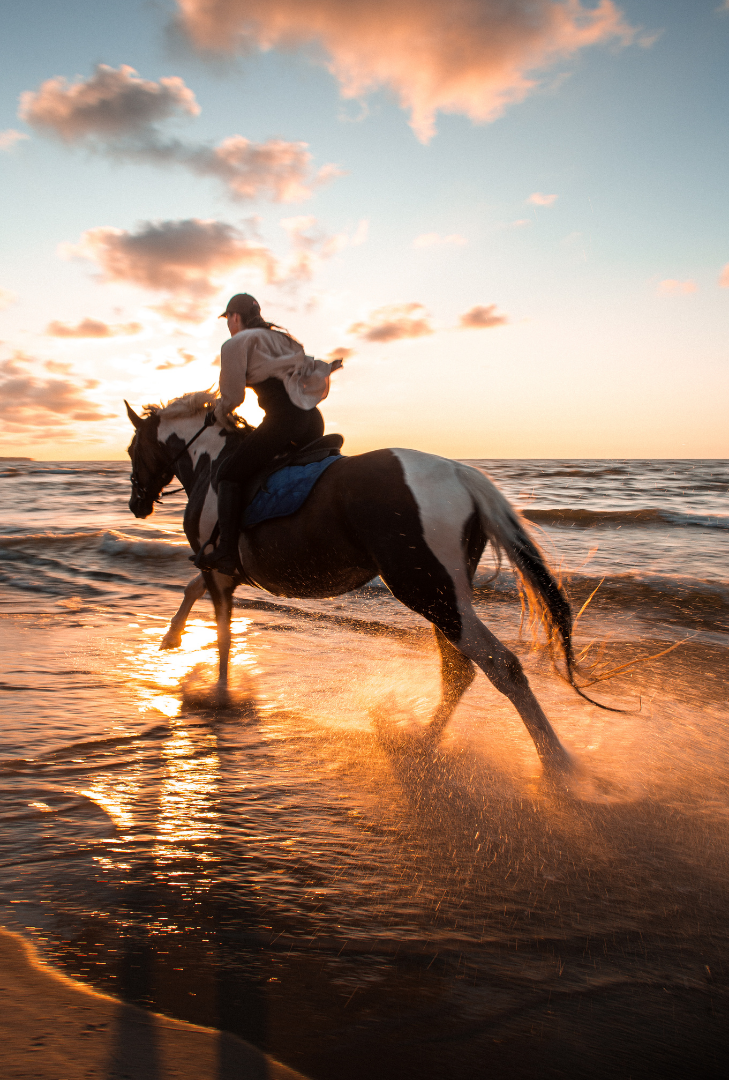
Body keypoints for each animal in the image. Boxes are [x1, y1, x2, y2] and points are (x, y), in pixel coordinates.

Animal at [128, 393, 591, 773]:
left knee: (500, 665)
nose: (137, 504)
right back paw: (423, 739)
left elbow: (223, 636)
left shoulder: (219, 569)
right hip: (441, 593)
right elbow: (193, 591)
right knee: (460, 670)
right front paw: (171, 639)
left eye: (133, 449)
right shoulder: (222, 570)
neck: (212, 463)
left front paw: (220, 695)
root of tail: (459, 474)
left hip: (426, 591)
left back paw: (557, 765)